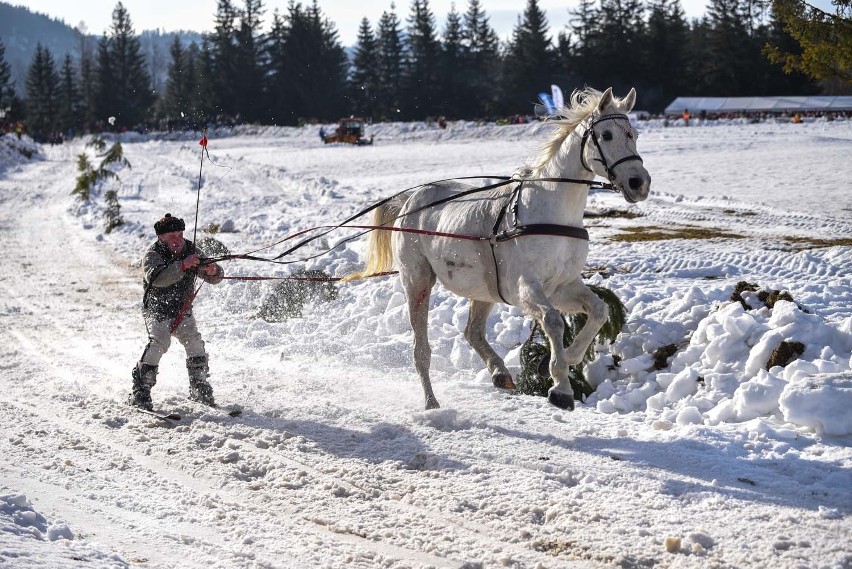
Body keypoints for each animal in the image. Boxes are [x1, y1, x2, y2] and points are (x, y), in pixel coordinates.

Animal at [350, 87, 648, 408]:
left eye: (634, 134)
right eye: (606, 135)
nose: (639, 183)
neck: (548, 211)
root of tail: (410, 200)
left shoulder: (562, 286)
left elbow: (599, 311)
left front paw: (560, 362)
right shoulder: (524, 288)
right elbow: (553, 321)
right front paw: (560, 386)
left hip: (484, 290)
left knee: (472, 331)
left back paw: (500, 372)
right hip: (417, 281)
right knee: (421, 349)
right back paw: (431, 402)